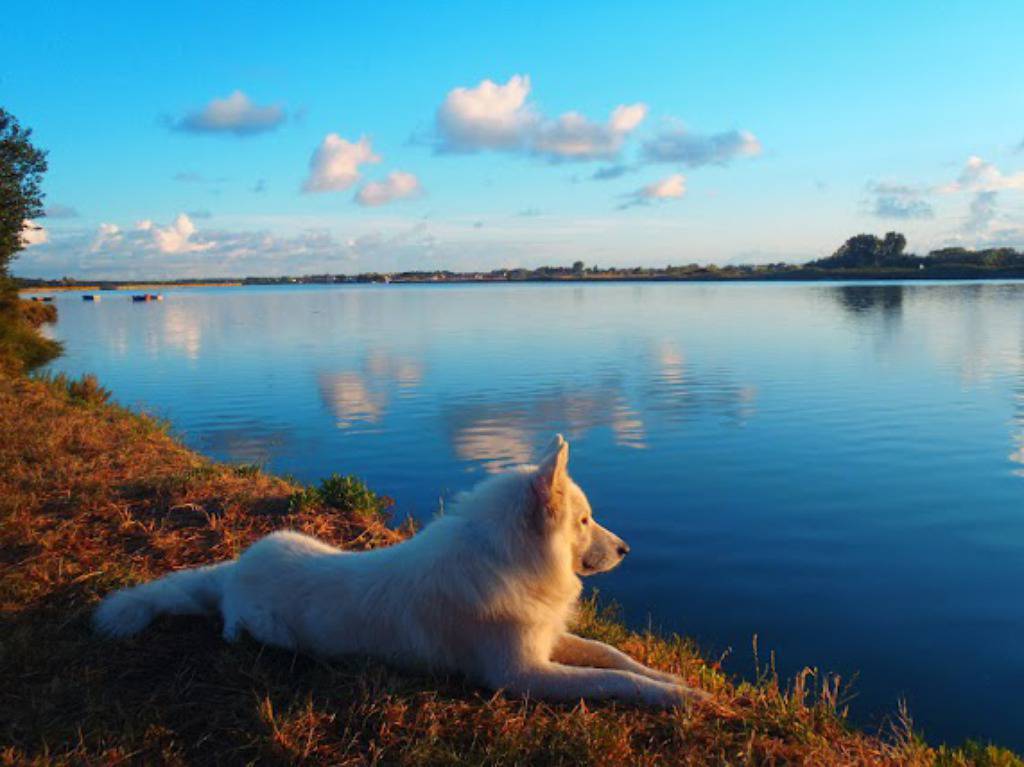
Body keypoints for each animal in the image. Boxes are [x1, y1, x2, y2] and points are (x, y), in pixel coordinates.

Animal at [96, 434, 708, 704]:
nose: (627, 549)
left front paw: (676, 681)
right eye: (584, 520)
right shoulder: (520, 675)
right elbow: (610, 680)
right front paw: (682, 699)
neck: (502, 557)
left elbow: (613, 656)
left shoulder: (547, 637)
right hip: (264, 631)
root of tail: (234, 571)